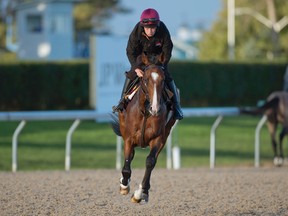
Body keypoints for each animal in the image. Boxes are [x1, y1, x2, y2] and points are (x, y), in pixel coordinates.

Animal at [111, 52, 177, 202]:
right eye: (146, 80)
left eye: (163, 80)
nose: (155, 108)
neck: (145, 111)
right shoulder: (129, 138)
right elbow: (127, 165)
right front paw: (124, 185)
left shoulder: (158, 138)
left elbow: (150, 162)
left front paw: (142, 193)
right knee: (130, 158)